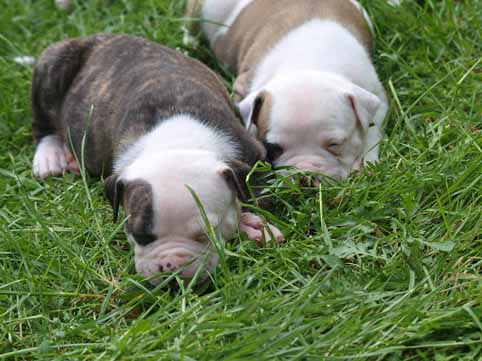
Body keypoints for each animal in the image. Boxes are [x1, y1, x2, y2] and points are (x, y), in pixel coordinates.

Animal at [31, 32, 282, 282]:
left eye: (206, 234)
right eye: (139, 235)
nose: (173, 266)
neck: (176, 142)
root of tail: (93, 38)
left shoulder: (252, 154)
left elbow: (255, 195)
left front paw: (253, 223)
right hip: (52, 63)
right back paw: (49, 155)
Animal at [185, 0, 392, 179]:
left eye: (335, 144)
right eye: (272, 147)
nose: (305, 174)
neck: (308, 63)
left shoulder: (377, 97)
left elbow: (372, 132)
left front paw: (365, 163)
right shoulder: (243, 88)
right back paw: (190, 45)